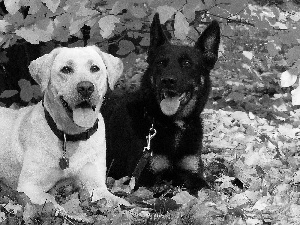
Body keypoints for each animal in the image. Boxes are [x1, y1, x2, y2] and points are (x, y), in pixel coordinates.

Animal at [0, 45, 127, 211]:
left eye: (94, 68)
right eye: (66, 69)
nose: (86, 87)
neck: (72, 135)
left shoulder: (95, 185)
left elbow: (115, 199)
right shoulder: (29, 187)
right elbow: (50, 200)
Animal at [103, 13, 220, 194]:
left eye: (187, 64)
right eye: (160, 63)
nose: (168, 81)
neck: (172, 125)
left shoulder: (193, 173)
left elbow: (205, 190)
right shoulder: (143, 179)